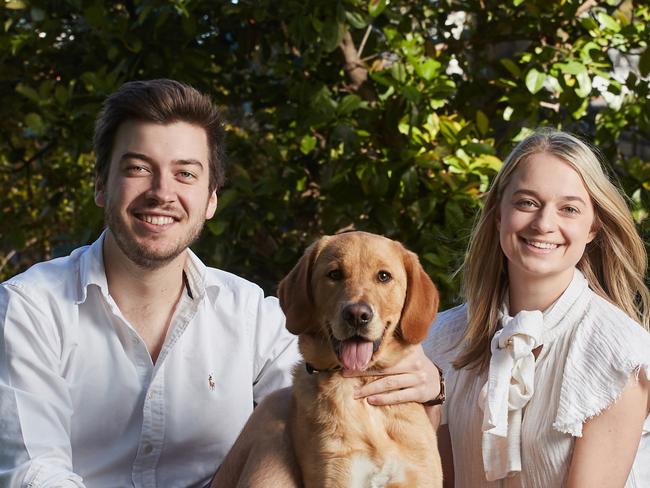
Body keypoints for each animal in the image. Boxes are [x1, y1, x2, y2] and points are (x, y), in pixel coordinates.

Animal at [276, 232, 442, 488]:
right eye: (334, 274)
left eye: (384, 276)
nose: (357, 315)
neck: (360, 380)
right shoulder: (335, 474)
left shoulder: (421, 475)